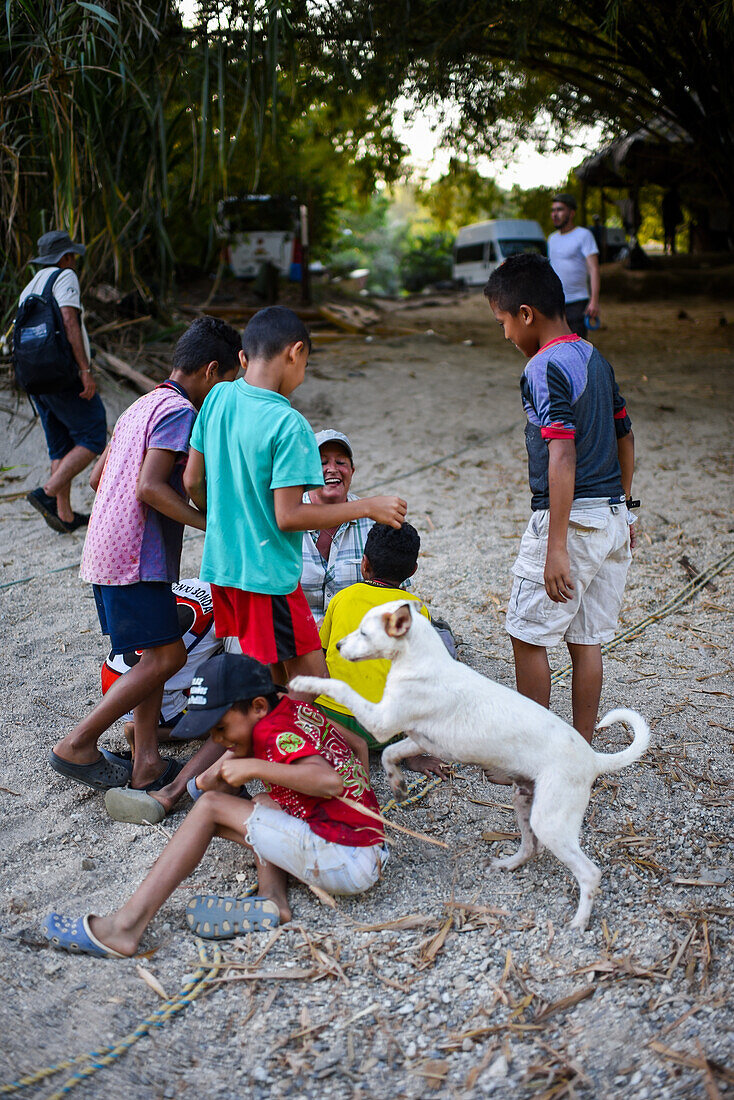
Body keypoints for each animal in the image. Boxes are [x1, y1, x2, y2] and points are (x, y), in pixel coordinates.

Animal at [290, 602, 651, 928]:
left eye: (364, 633)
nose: (337, 646)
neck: (421, 658)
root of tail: (592, 758)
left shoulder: (382, 722)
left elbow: (340, 687)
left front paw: (306, 683)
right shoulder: (419, 738)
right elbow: (391, 754)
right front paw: (398, 785)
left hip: (551, 822)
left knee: (590, 873)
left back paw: (579, 921)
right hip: (524, 801)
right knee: (531, 847)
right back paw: (509, 864)